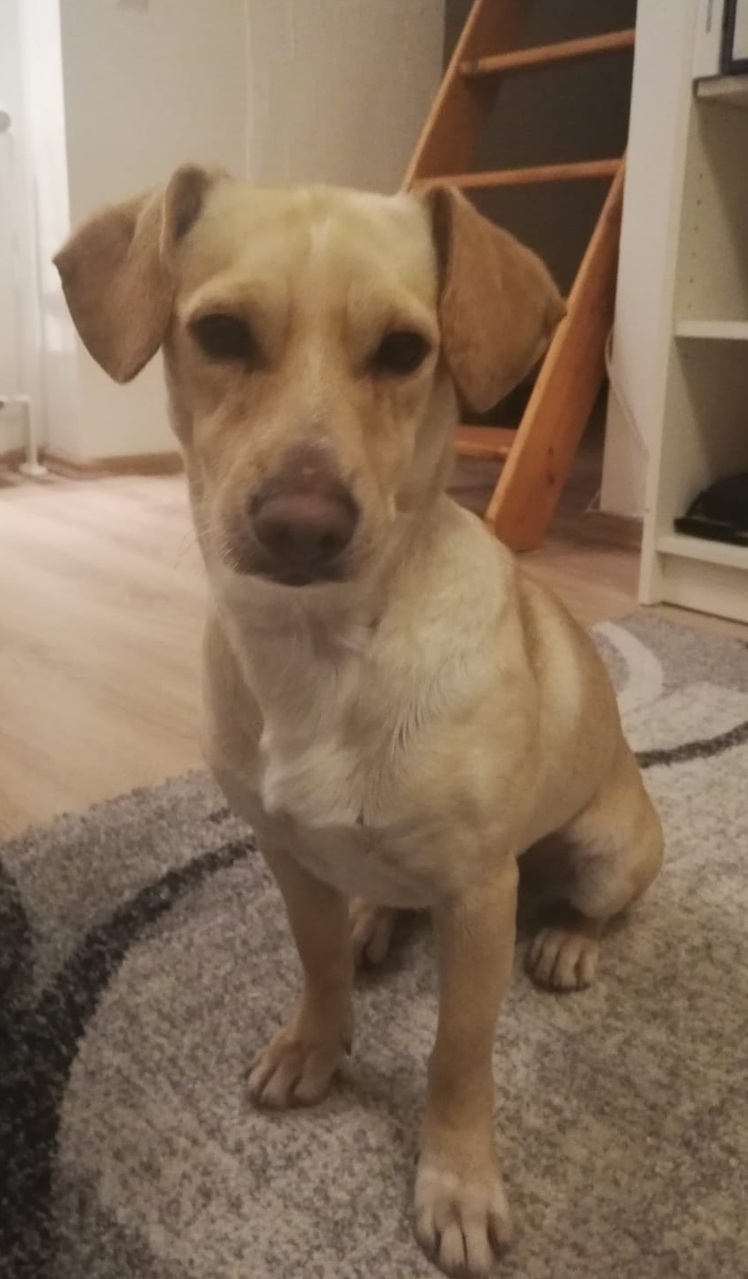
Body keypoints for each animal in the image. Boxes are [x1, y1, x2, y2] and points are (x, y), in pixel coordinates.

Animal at [55, 166, 663, 1277]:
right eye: (219, 333)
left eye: (404, 351)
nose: (302, 524)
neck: (320, 656)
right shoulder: (289, 857)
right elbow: (319, 963)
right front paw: (316, 1043)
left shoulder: (480, 892)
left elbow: (458, 1055)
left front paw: (457, 1182)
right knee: (378, 903)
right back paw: (379, 918)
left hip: (603, 849)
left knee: (593, 903)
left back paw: (566, 940)